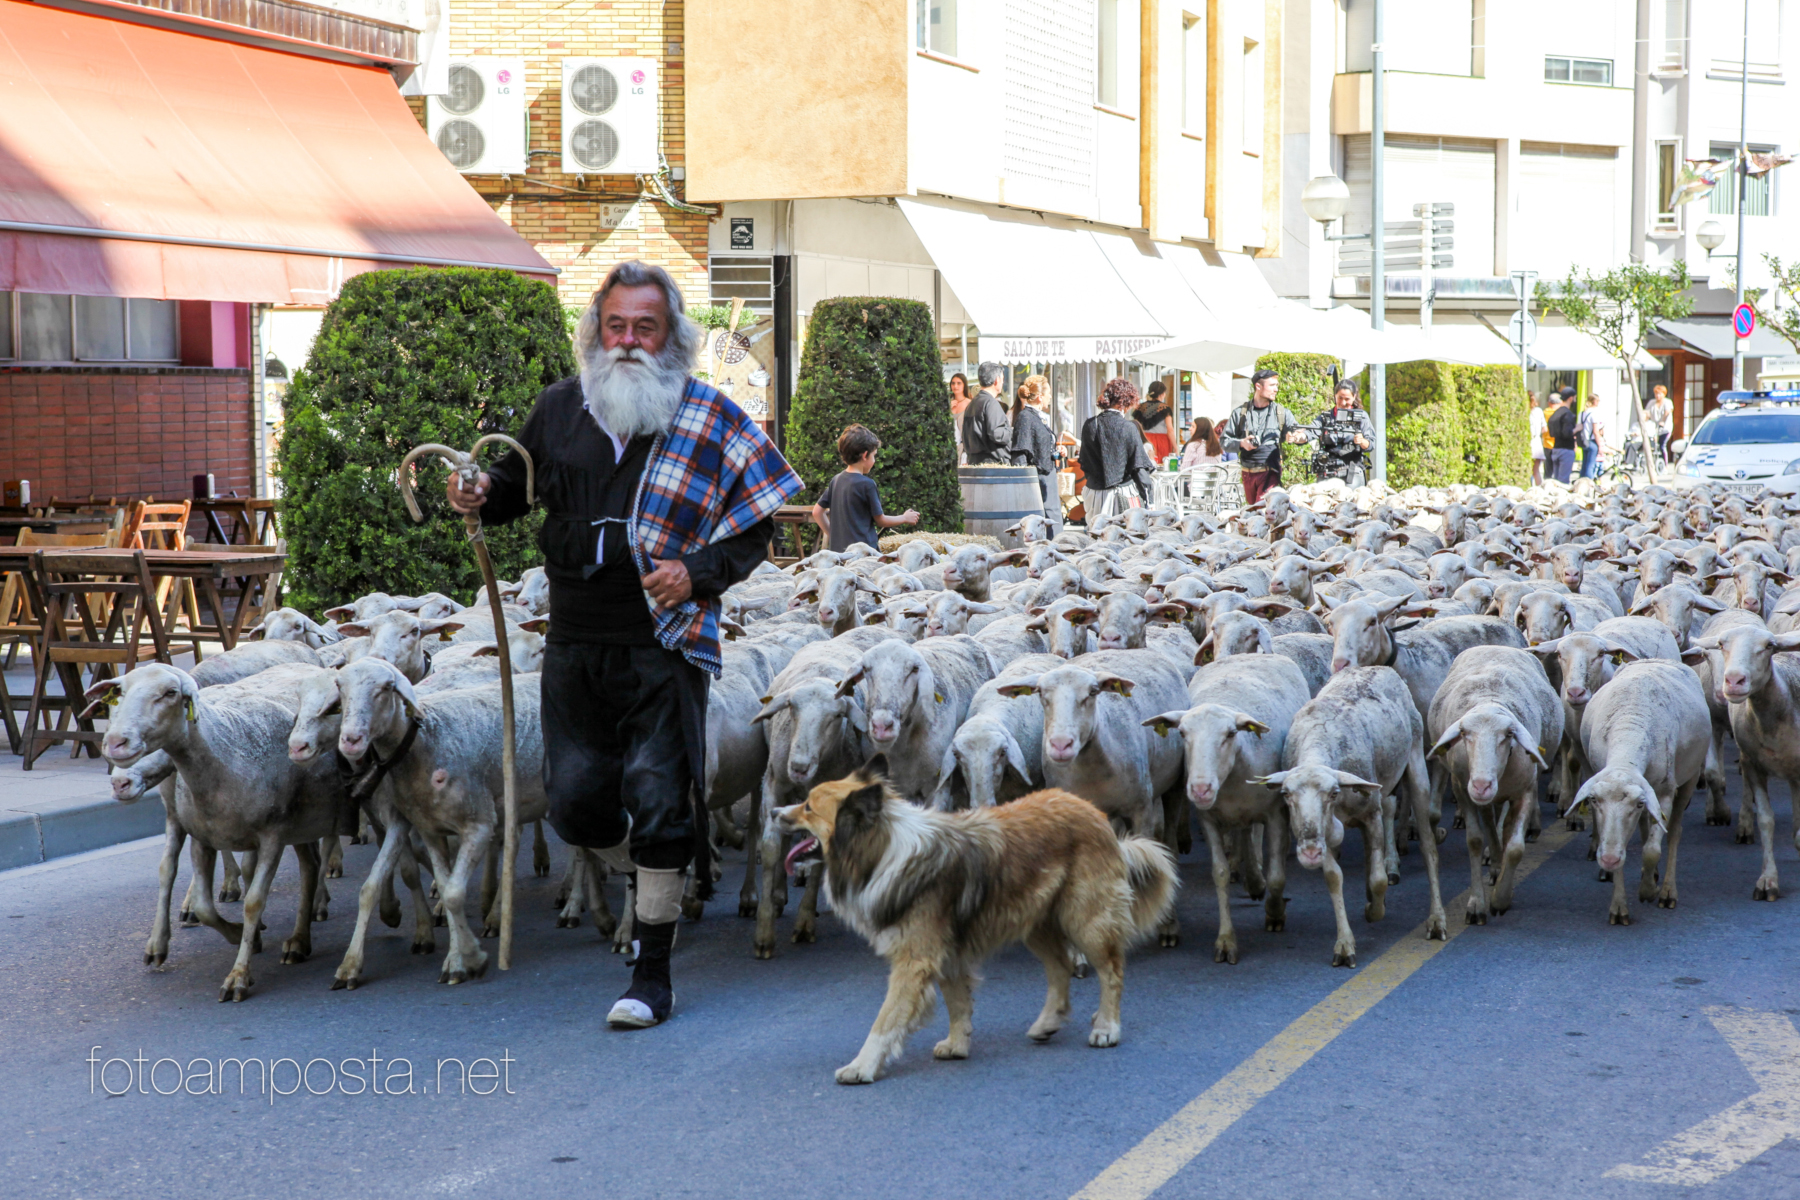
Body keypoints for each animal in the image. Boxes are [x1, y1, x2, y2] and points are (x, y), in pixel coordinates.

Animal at [777, 759, 1180, 1086]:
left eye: (808, 807)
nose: (775, 812)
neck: (881, 851)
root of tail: (1094, 813)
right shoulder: (947, 953)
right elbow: (958, 1002)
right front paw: (958, 1045)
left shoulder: (914, 959)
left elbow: (886, 1019)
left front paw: (862, 1066)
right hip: (1035, 922)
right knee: (1060, 967)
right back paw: (1049, 1021)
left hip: (1086, 920)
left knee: (1111, 970)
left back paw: (1106, 1027)